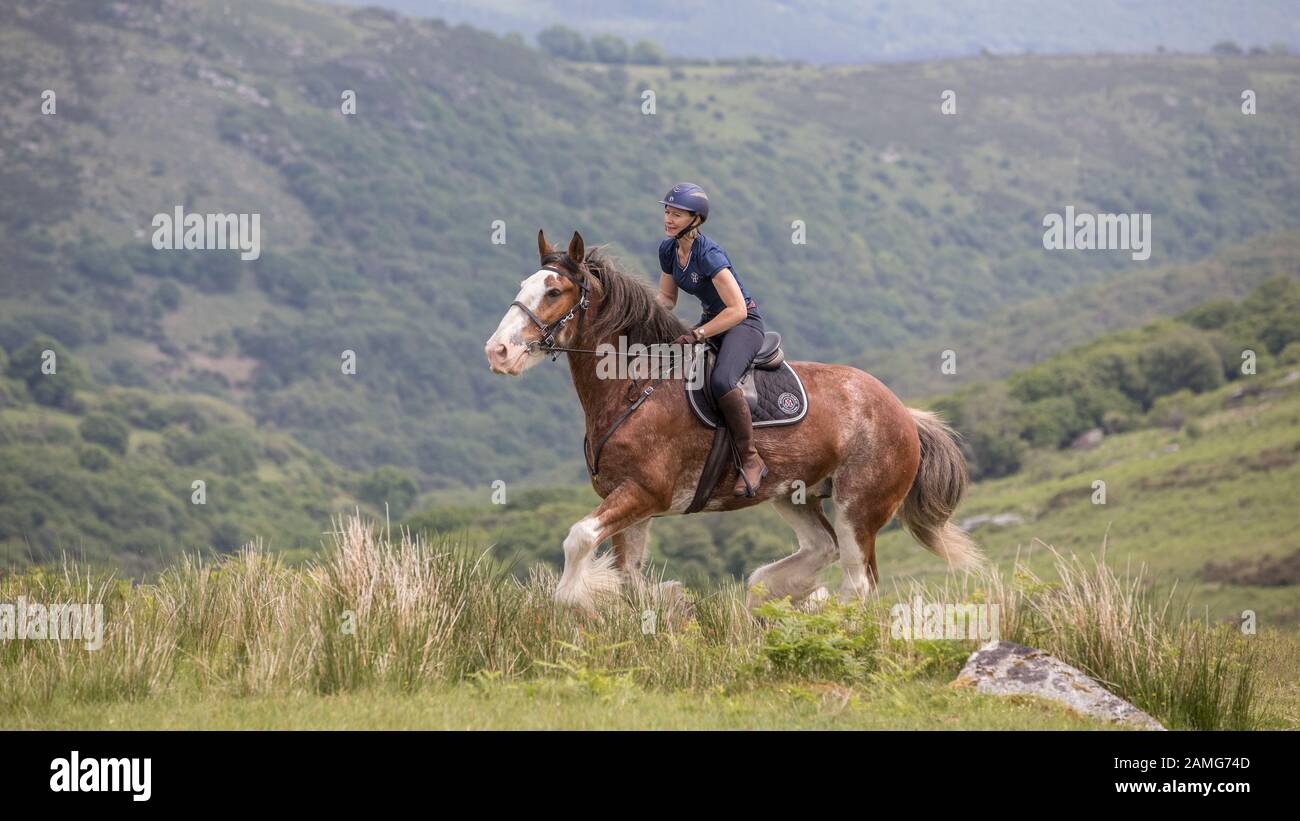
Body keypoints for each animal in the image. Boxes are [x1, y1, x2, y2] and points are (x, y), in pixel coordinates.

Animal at [484, 229, 982, 615]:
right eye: (525, 285)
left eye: (554, 292)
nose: (497, 352)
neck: (634, 385)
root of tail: (904, 412)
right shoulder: (627, 502)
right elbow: (629, 580)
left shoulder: (644, 492)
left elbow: (578, 538)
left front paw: (573, 600)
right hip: (795, 494)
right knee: (819, 550)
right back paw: (774, 592)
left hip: (858, 505)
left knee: (856, 580)